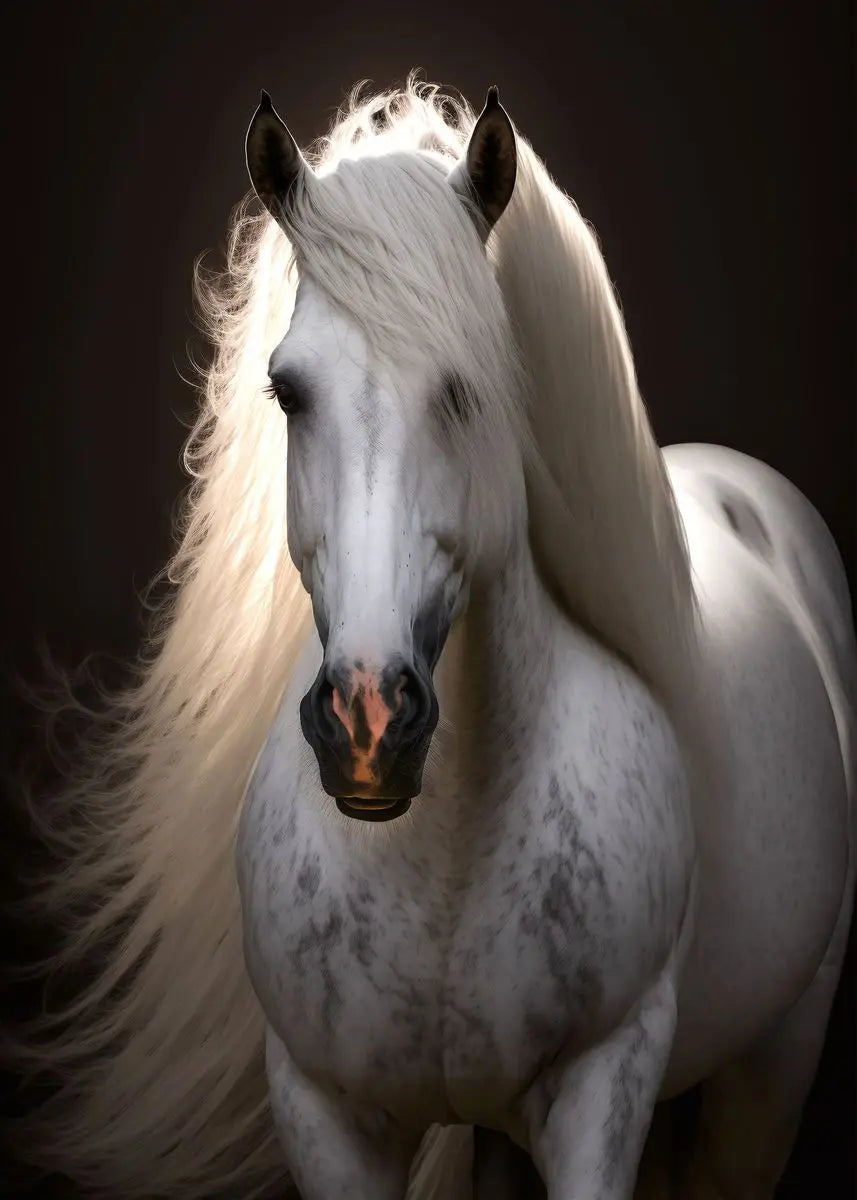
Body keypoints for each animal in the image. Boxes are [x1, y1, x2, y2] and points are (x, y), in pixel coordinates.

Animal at [9, 78, 854, 1200]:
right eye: (287, 390)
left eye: (468, 389)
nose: (368, 724)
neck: (441, 854)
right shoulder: (322, 1113)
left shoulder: (603, 1089)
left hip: (771, 1070)